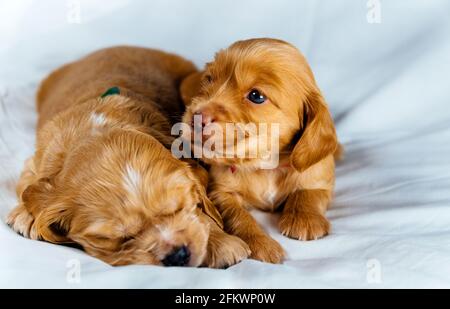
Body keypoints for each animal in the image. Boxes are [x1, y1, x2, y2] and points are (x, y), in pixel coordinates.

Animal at [6, 45, 250, 268]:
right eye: (120, 238)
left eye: (179, 208)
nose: (177, 255)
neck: (98, 130)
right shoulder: (39, 158)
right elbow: (29, 184)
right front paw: (27, 215)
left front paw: (222, 243)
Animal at [181, 38, 340, 262]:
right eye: (209, 79)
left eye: (256, 95)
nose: (197, 116)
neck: (265, 166)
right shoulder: (220, 191)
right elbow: (238, 215)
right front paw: (261, 243)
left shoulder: (319, 175)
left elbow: (309, 191)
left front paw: (305, 219)